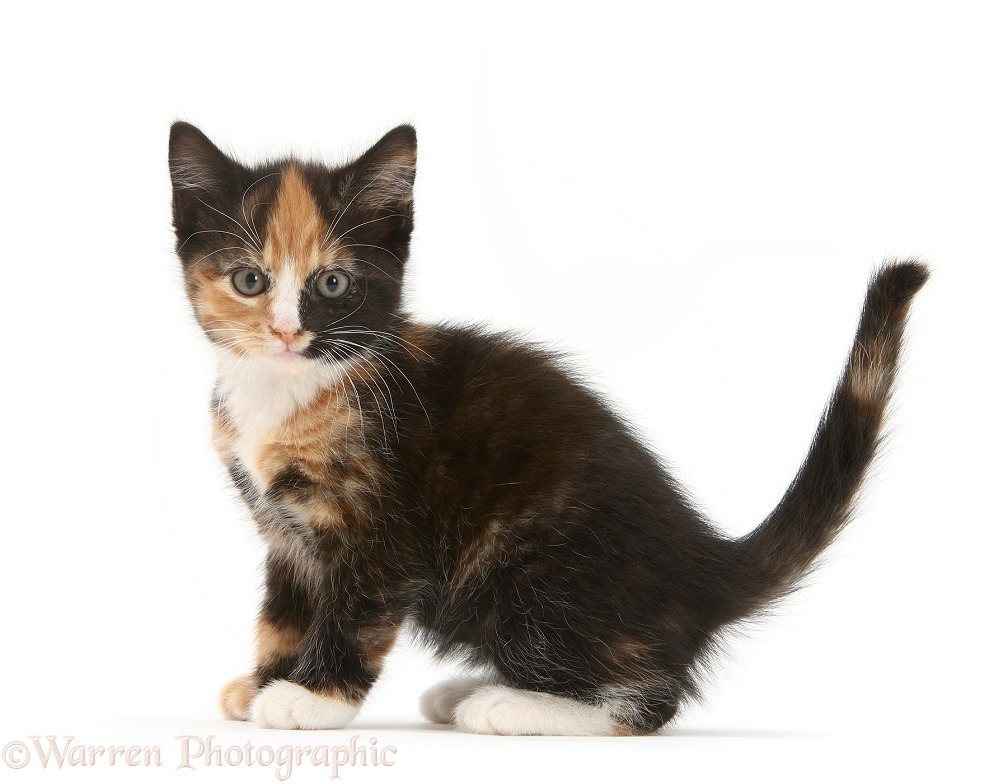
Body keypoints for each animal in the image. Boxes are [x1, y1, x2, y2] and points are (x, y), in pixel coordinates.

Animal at [168, 122, 926, 737]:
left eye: (331, 285)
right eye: (249, 280)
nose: (285, 332)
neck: (292, 392)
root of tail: (701, 567)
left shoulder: (382, 526)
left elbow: (356, 611)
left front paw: (312, 698)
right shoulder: (285, 532)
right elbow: (285, 610)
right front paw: (266, 681)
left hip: (532, 574)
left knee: (647, 697)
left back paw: (506, 704)